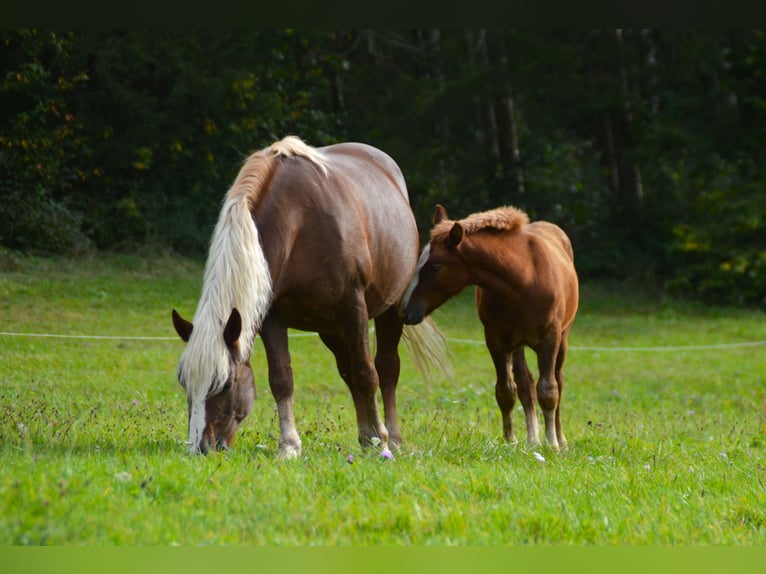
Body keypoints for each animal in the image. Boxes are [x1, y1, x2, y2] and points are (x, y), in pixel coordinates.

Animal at [172, 135, 450, 460]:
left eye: (226, 383)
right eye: (184, 383)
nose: (200, 447)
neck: (300, 223)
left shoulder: (354, 308)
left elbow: (367, 374)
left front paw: (381, 441)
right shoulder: (272, 319)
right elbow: (282, 379)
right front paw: (289, 446)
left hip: (388, 311)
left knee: (386, 368)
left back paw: (389, 438)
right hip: (330, 328)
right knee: (347, 372)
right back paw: (365, 437)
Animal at [404, 205, 580, 452]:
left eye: (435, 267)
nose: (405, 309)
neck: (524, 280)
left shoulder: (550, 338)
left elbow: (549, 390)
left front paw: (553, 444)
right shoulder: (496, 340)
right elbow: (505, 390)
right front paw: (510, 440)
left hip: (562, 339)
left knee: (558, 381)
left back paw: (558, 438)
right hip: (518, 345)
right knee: (525, 386)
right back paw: (532, 439)